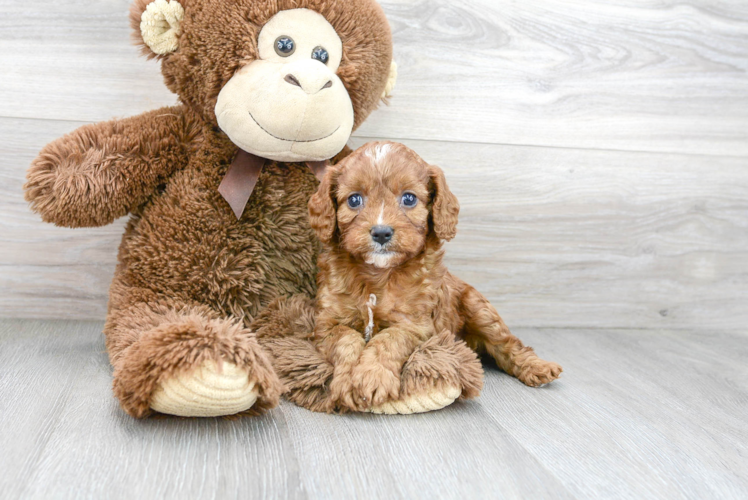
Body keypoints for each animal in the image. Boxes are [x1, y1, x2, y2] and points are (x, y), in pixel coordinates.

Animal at [306, 141, 560, 410]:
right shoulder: (327, 323)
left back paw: (537, 367)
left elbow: (388, 339)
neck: (378, 273)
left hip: (479, 308)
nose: (381, 233)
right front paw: (347, 381)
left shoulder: (415, 324)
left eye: (409, 198)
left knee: (508, 345)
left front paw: (372, 377)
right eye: (354, 199)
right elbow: (347, 340)